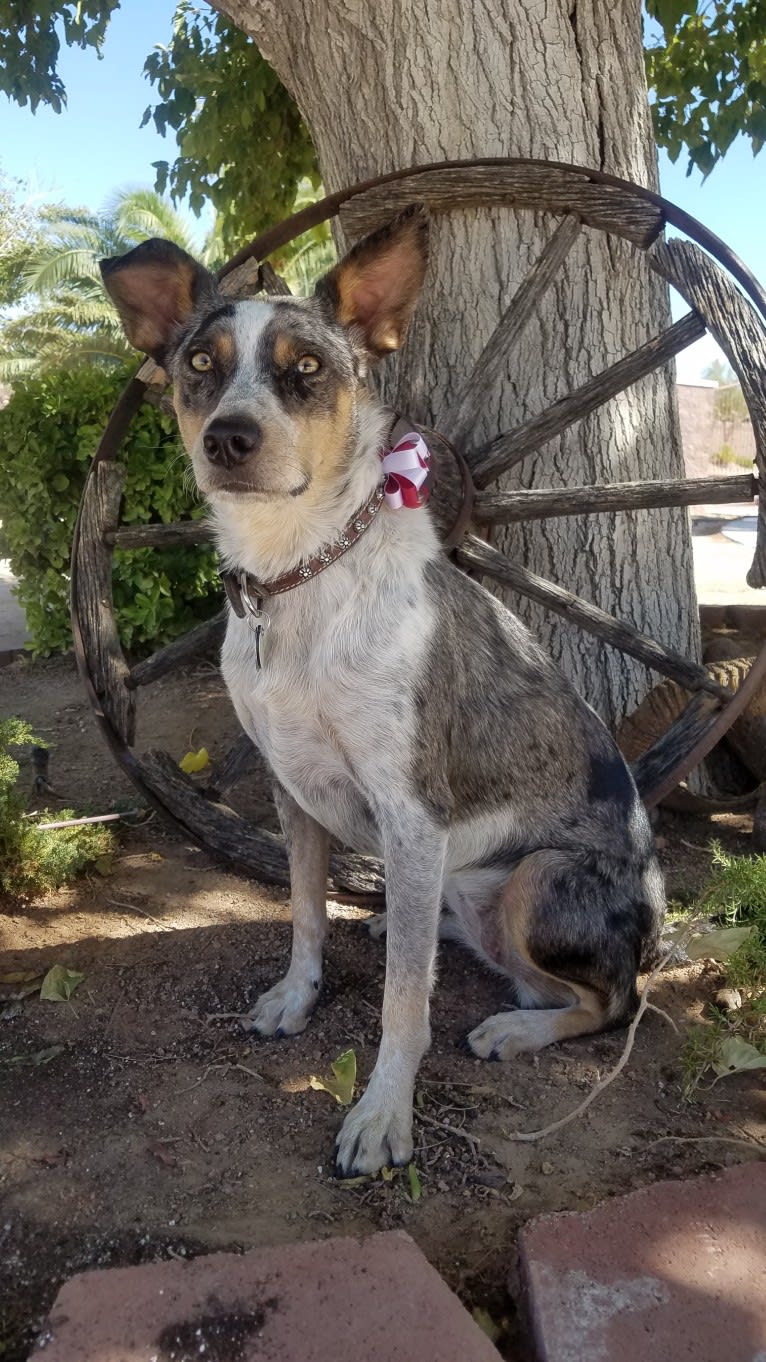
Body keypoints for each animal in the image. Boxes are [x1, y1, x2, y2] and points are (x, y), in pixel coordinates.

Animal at [101, 207, 662, 1176]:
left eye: (307, 369)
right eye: (200, 364)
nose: (227, 439)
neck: (297, 574)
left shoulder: (411, 810)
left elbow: (406, 998)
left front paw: (382, 1113)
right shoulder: (291, 789)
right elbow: (304, 912)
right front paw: (297, 996)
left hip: (537, 877)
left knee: (609, 1001)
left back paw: (514, 1027)